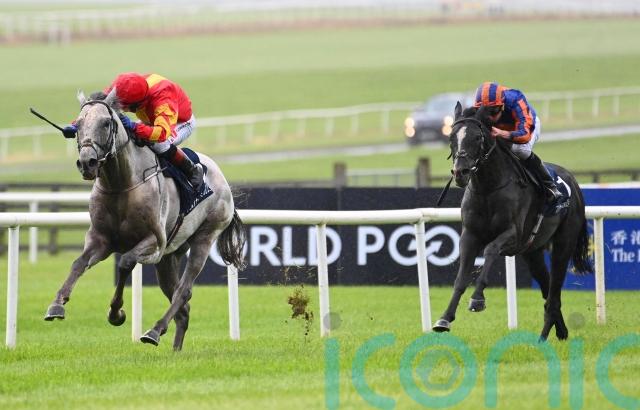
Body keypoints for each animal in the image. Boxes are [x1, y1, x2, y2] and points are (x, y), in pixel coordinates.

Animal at [43, 88, 246, 350]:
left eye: (106, 122)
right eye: (78, 124)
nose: (87, 163)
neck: (121, 185)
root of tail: (222, 179)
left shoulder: (154, 242)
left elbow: (125, 262)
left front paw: (116, 313)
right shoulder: (101, 239)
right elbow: (78, 263)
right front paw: (56, 305)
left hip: (204, 237)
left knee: (184, 290)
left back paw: (154, 331)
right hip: (170, 256)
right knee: (182, 303)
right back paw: (174, 348)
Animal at [432, 102, 591, 341]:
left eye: (477, 137)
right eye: (451, 136)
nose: (460, 172)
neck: (488, 189)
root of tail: (573, 181)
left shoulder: (514, 234)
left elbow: (490, 250)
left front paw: (477, 299)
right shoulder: (469, 235)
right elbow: (461, 278)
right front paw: (444, 319)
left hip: (564, 244)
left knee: (554, 292)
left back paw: (543, 337)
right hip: (532, 252)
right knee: (548, 290)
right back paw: (560, 331)